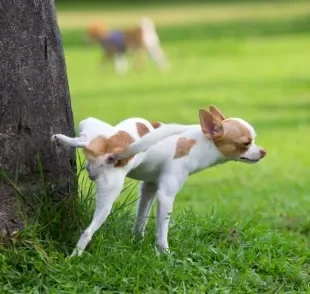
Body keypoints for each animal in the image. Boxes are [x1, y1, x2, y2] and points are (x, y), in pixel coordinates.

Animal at [52, 105, 266, 255]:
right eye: (246, 143)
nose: (263, 151)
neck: (200, 142)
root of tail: (114, 148)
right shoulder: (165, 195)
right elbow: (162, 230)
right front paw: (164, 253)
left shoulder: (149, 187)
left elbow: (141, 218)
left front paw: (137, 240)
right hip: (110, 193)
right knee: (88, 232)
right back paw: (74, 257)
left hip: (91, 128)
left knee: (83, 140)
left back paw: (62, 139)